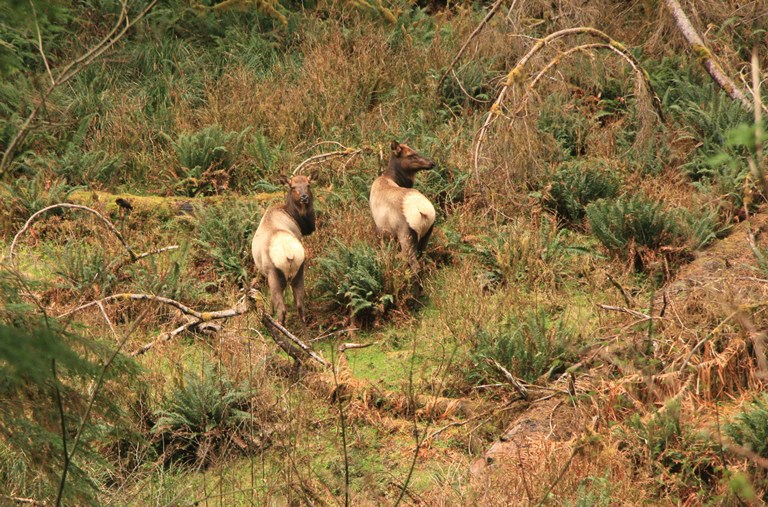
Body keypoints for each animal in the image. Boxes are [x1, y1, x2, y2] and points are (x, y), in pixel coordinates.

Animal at [254, 175, 316, 326]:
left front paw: (269, 313)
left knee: (282, 310)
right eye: (293, 187)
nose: (304, 197)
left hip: (274, 274)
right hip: (300, 270)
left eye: (308, 184)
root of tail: (289, 253)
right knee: (300, 305)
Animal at [368, 141, 436, 272]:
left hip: (406, 234)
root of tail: (423, 211)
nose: (432, 163)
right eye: (411, 155)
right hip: (427, 234)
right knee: (421, 258)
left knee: (414, 263)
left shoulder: (379, 228)